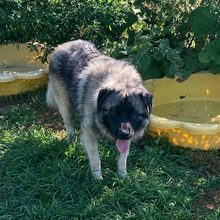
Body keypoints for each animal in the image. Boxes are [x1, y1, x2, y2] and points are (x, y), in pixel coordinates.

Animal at [46, 40, 153, 180]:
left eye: (133, 113)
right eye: (114, 111)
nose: (123, 133)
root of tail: (62, 46)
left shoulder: (128, 135)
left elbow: (122, 158)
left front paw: (122, 175)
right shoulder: (89, 133)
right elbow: (95, 158)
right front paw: (97, 178)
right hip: (65, 107)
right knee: (69, 127)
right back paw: (71, 142)